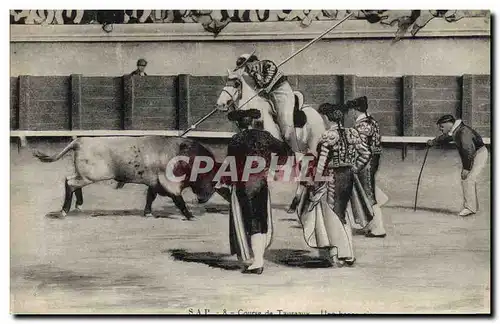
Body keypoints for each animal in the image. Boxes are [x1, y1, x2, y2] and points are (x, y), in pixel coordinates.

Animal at [33, 135, 230, 219]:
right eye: (212, 178)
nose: (202, 200)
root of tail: (80, 141)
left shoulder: (155, 183)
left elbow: (150, 197)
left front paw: (148, 213)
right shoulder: (170, 184)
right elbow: (179, 201)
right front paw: (190, 215)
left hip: (85, 174)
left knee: (72, 181)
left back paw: (78, 205)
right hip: (90, 175)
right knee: (70, 183)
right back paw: (64, 211)